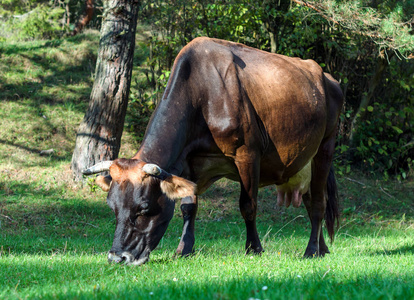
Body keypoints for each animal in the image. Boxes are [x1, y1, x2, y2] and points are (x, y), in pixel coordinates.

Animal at [83, 37, 342, 264]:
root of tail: (327, 77)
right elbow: (188, 206)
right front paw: (184, 249)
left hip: (326, 147)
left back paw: (311, 250)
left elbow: (248, 205)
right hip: (303, 162)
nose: (117, 257)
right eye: (112, 207)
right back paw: (323, 248)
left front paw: (254, 249)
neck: (202, 95)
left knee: (319, 203)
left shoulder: (247, 154)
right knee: (310, 200)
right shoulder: (188, 162)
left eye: (144, 207)